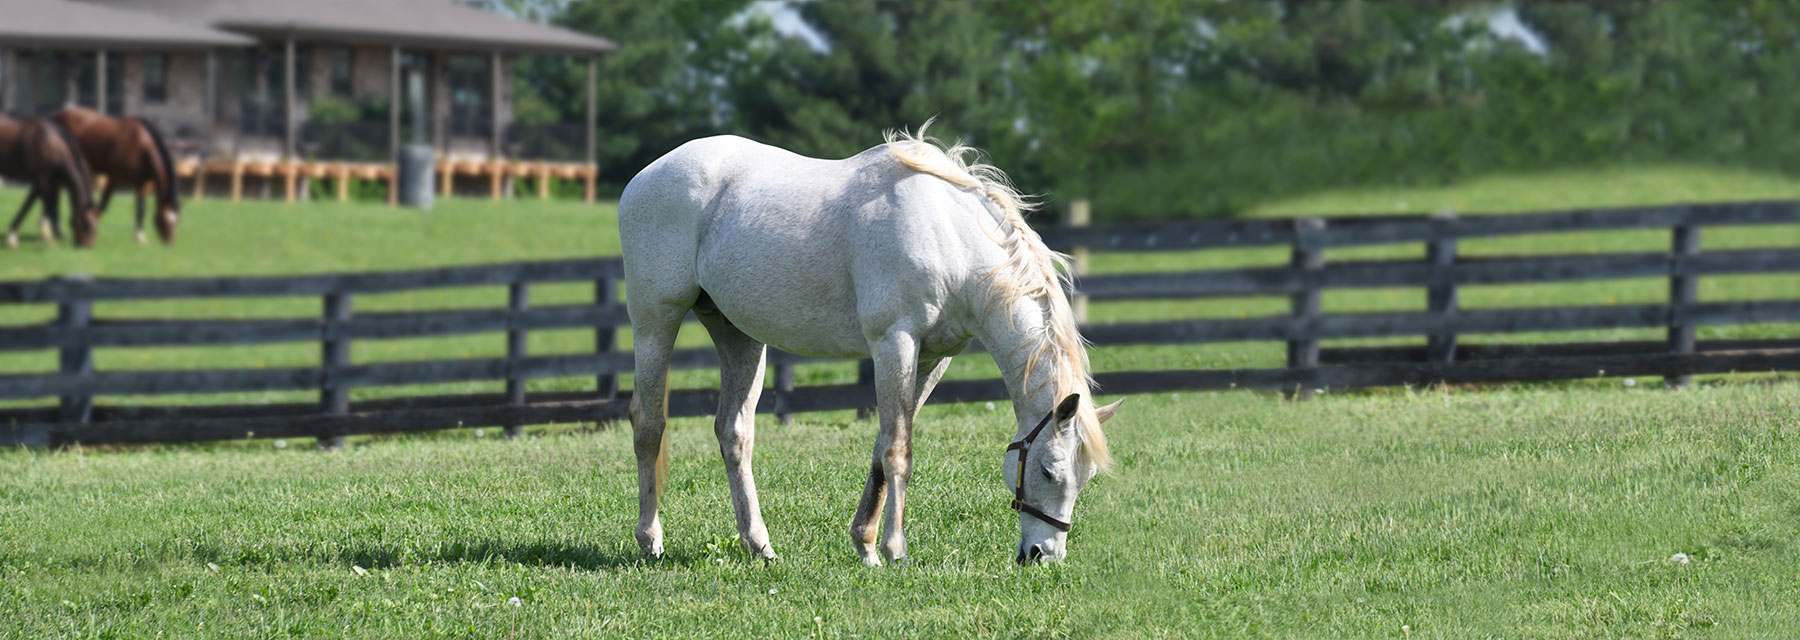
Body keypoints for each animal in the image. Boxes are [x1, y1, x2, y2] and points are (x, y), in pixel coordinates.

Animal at [1, 113, 100, 248]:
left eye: (96, 226)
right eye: (87, 224)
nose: (85, 247)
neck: (51, 144)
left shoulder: (43, 181)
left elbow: (30, 203)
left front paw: (13, 235)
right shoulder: (42, 178)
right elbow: (48, 204)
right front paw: (48, 236)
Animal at [54, 108, 180, 244]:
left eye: (177, 221)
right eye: (166, 221)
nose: (170, 242)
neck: (141, 144)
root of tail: (56, 115)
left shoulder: (142, 182)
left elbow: (141, 207)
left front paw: (139, 236)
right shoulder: (115, 177)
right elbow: (104, 204)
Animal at [626, 121, 1116, 564]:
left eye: (1085, 477)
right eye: (1048, 470)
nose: (1043, 555)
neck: (949, 237)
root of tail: (645, 176)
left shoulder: (933, 358)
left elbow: (883, 448)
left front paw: (865, 544)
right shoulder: (893, 343)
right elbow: (898, 450)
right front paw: (894, 551)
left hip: (738, 335)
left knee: (734, 433)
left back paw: (759, 545)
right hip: (655, 322)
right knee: (648, 423)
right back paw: (651, 540)